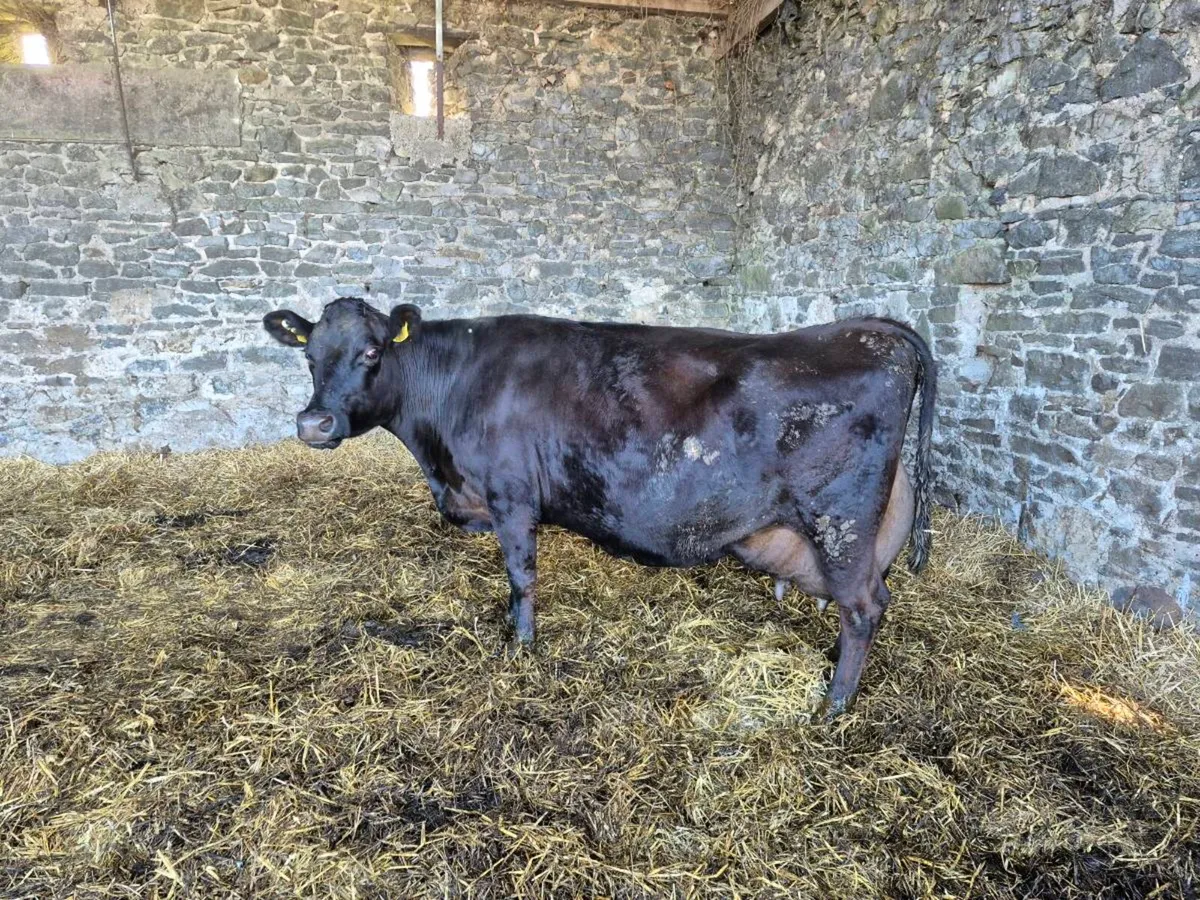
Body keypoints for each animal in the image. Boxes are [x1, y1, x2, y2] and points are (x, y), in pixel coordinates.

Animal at [263, 298, 936, 720]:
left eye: (372, 352)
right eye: (308, 355)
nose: (314, 423)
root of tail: (871, 329)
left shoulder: (511, 495)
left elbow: (521, 577)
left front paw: (522, 647)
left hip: (841, 520)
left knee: (864, 606)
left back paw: (835, 704)